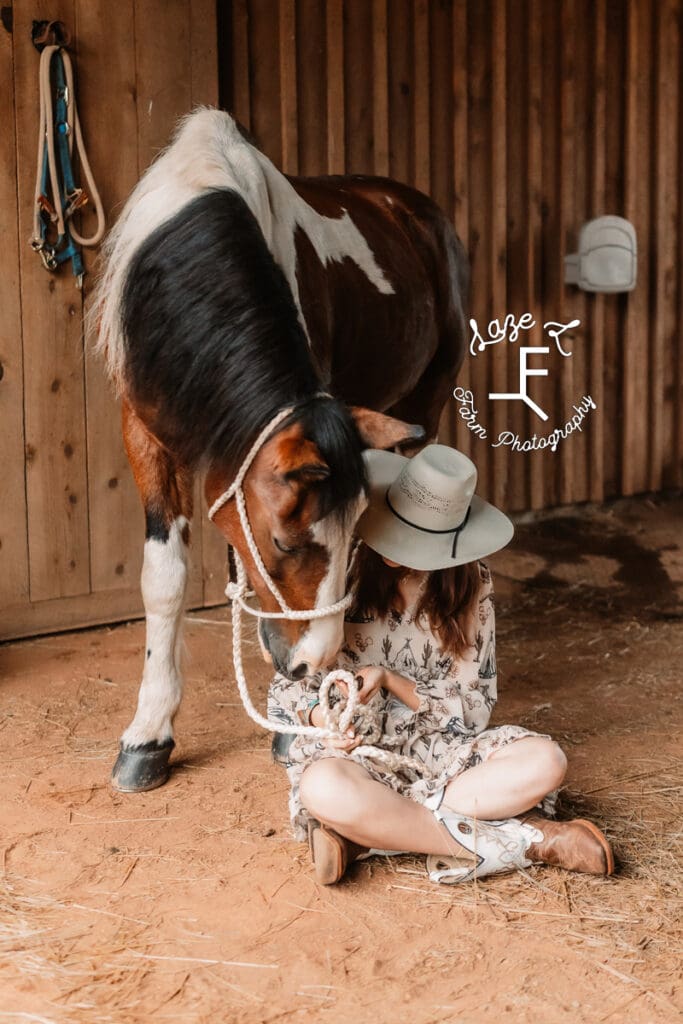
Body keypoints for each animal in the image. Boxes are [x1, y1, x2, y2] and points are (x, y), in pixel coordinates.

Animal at [94, 105, 471, 790]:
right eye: (284, 542)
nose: (311, 664)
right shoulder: (145, 434)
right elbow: (165, 578)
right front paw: (148, 735)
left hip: (422, 409)